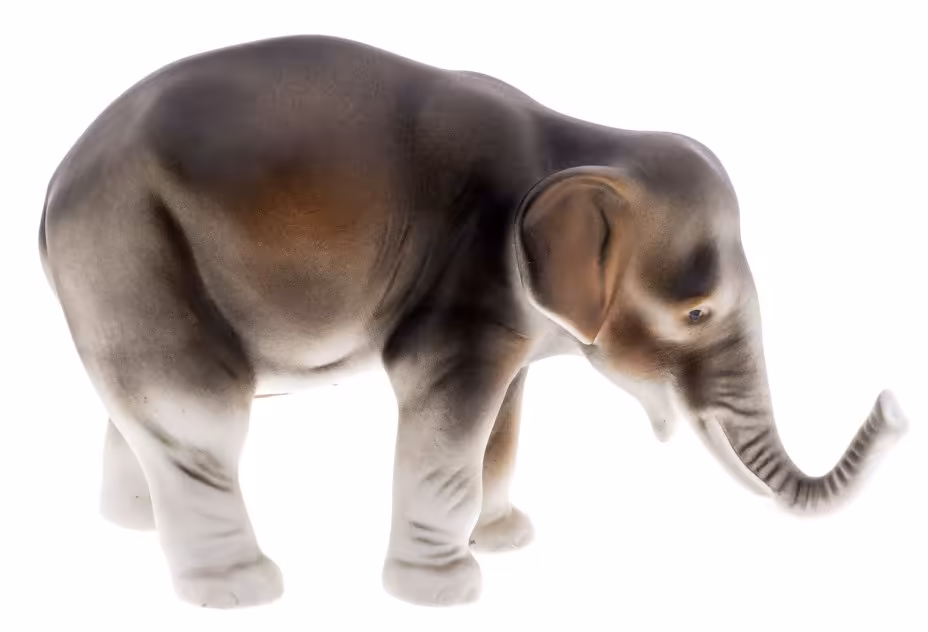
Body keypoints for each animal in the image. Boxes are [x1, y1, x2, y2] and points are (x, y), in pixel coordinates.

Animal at [38, 34, 909, 609]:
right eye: (696, 312)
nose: (896, 404)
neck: (585, 142)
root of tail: (55, 185)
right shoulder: (468, 279)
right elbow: (448, 410)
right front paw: (447, 590)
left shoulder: (509, 314)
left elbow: (503, 422)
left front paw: (506, 538)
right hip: (129, 246)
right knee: (197, 411)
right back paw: (241, 590)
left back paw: (134, 525)